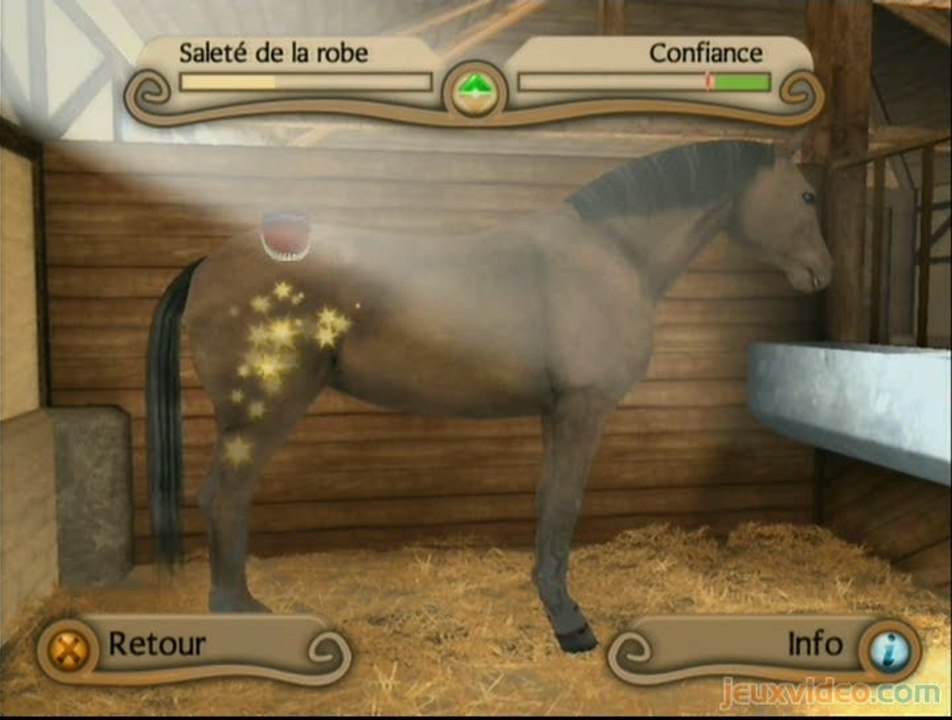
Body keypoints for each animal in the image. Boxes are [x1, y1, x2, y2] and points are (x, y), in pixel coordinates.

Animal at [147, 137, 832, 653]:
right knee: (225, 497)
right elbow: (565, 503)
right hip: (262, 412)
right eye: (805, 194)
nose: (823, 273)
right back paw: (237, 611)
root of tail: (208, 266)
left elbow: (548, 501)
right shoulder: (583, 410)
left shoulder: (558, 412)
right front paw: (569, 623)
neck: (611, 254)